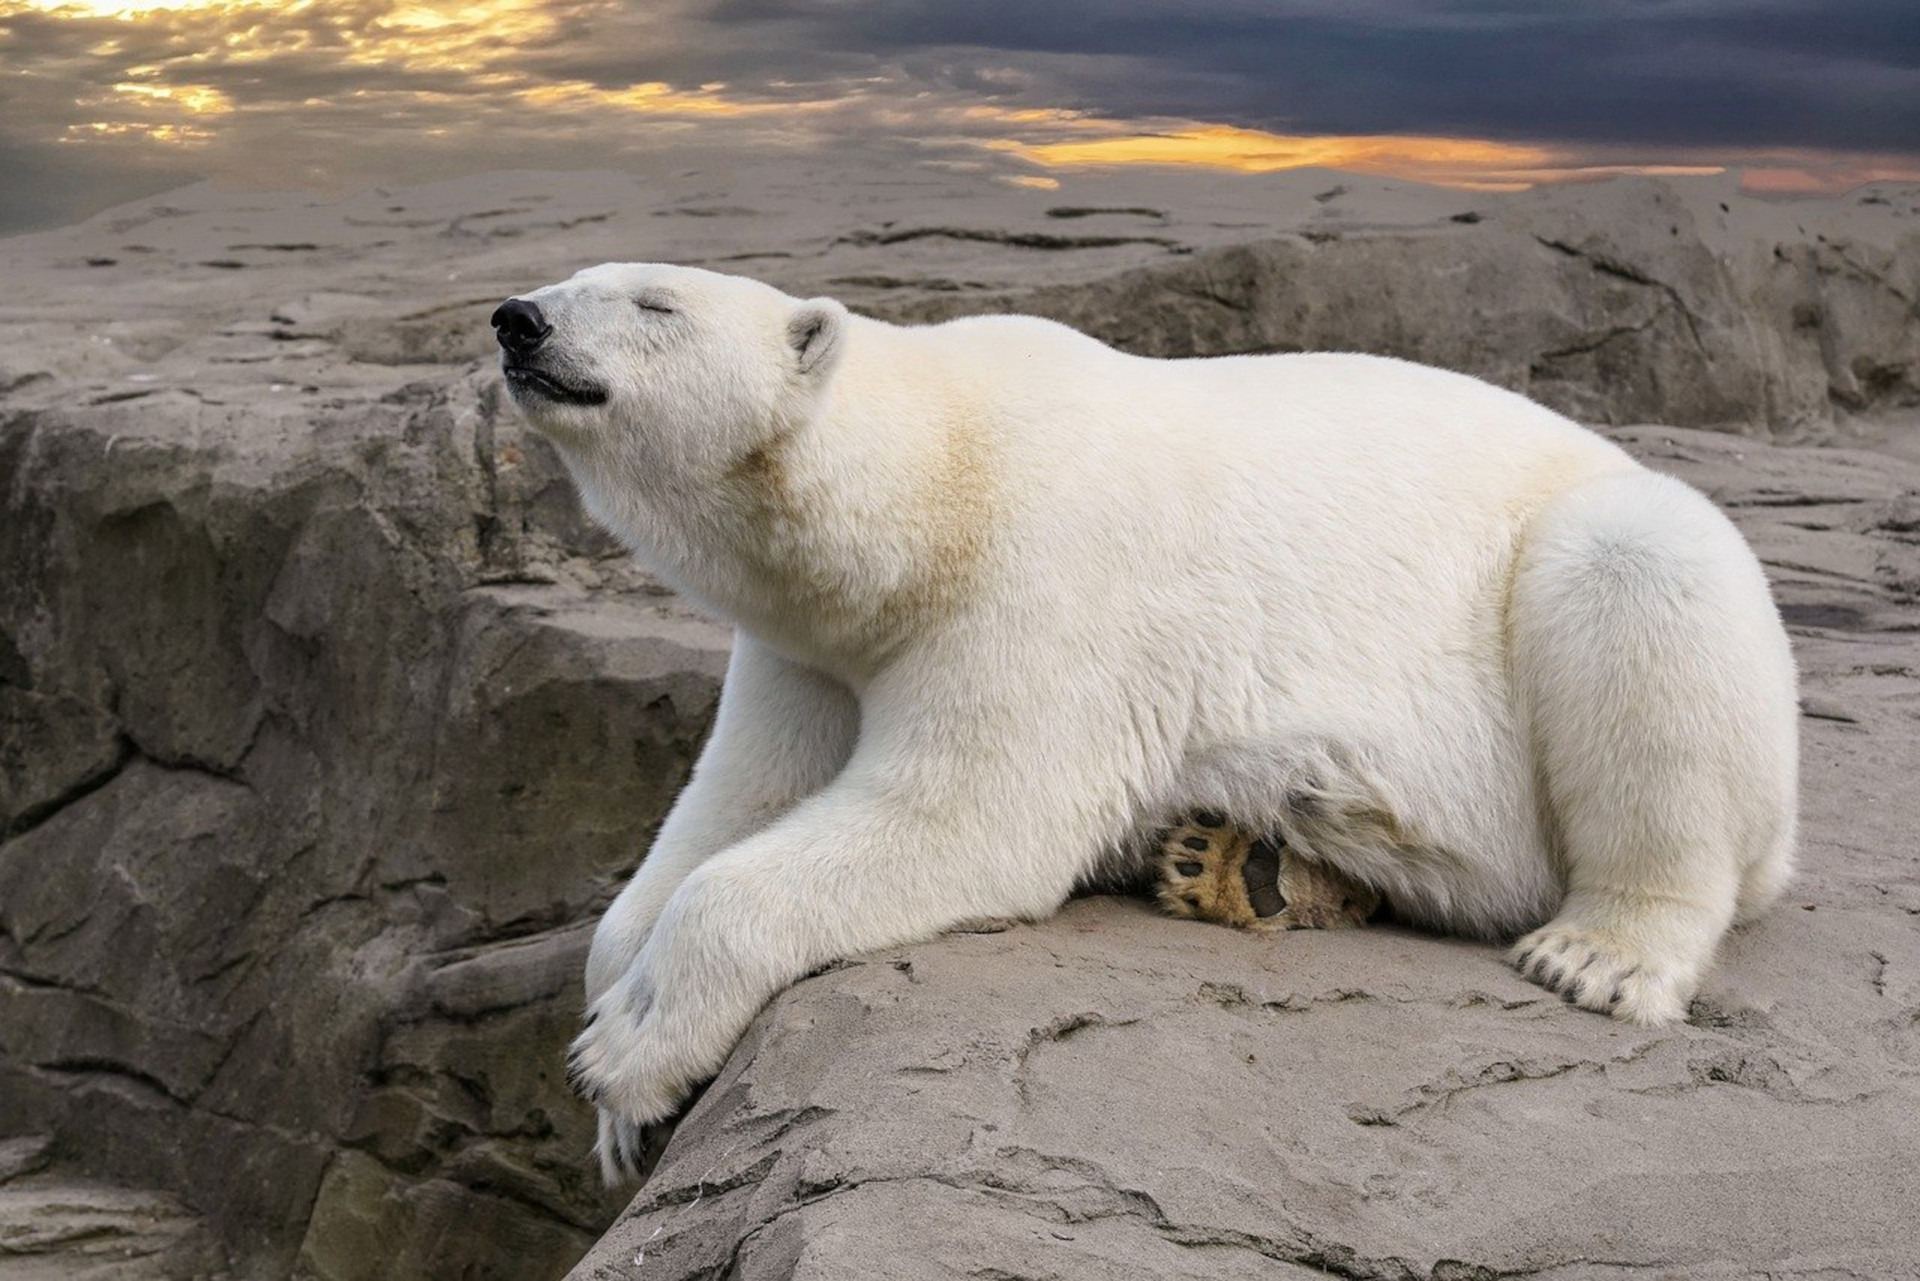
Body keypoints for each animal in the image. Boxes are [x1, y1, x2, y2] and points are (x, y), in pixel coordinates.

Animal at [491, 261, 1797, 1183]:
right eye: (578, 276)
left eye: (654, 301)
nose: (518, 321)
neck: (933, 484)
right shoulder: (809, 647)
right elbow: (735, 802)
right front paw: (618, 1077)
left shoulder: (1047, 576)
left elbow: (965, 818)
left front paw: (627, 1053)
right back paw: (1241, 860)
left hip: (1603, 585)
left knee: (1638, 582)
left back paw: (1600, 952)